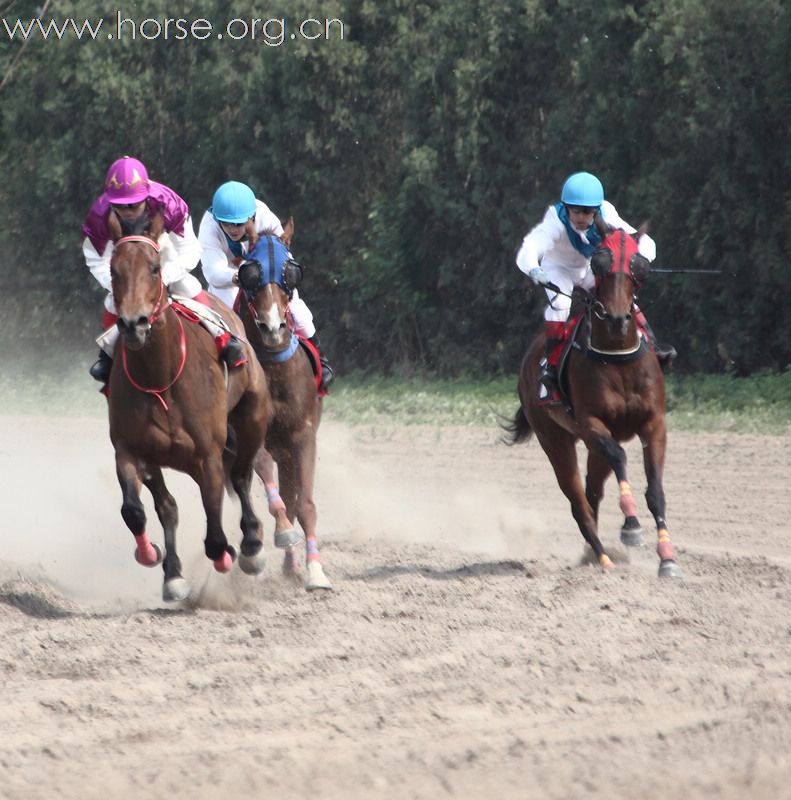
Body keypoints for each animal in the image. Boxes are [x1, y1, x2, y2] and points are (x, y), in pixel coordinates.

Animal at [107, 212, 276, 600]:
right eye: (113, 269)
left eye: (155, 268)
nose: (133, 324)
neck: (161, 377)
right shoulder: (131, 450)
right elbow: (137, 510)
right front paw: (160, 562)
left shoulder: (207, 456)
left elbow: (214, 533)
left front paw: (229, 554)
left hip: (253, 415)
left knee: (242, 475)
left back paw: (251, 546)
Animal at [235, 222, 334, 592]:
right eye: (249, 272)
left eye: (290, 272)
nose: (273, 326)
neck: (274, 371)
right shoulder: (249, 438)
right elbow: (266, 478)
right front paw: (282, 532)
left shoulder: (302, 437)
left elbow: (303, 503)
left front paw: (316, 571)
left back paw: (292, 564)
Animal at [508, 219, 688, 580]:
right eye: (600, 262)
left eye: (638, 266)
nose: (618, 319)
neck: (618, 356)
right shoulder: (592, 424)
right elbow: (620, 458)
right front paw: (632, 526)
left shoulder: (654, 425)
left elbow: (656, 491)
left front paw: (668, 559)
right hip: (555, 440)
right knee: (578, 500)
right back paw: (602, 557)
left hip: (592, 447)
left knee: (592, 493)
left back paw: (593, 554)